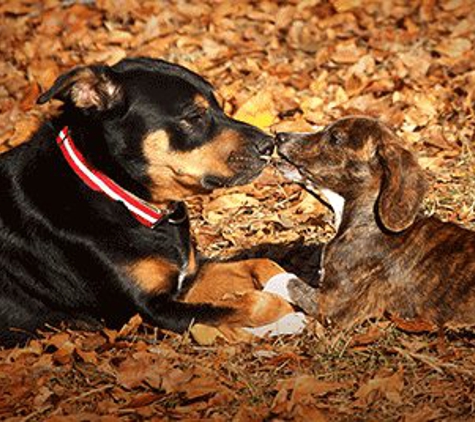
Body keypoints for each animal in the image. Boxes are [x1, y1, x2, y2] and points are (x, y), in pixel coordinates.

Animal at [0, 56, 304, 346]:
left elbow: (262, 263)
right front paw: (288, 318)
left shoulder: (187, 279)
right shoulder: (148, 309)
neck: (119, 194)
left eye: (219, 107)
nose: (269, 145)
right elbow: (251, 303)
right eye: (194, 116)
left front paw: (290, 285)